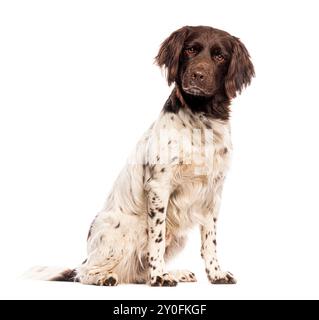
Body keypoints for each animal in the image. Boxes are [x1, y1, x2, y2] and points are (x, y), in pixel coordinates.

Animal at [28, 25, 256, 284]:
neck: (202, 119)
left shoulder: (213, 192)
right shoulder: (159, 187)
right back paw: (105, 278)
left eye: (220, 56)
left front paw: (216, 273)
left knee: (137, 273)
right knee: (83, 272)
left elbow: (210, 240)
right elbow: (155, 241)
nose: (197, 74)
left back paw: (176, 273)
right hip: (121, 230)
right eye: (190, 50)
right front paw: (159, 278)